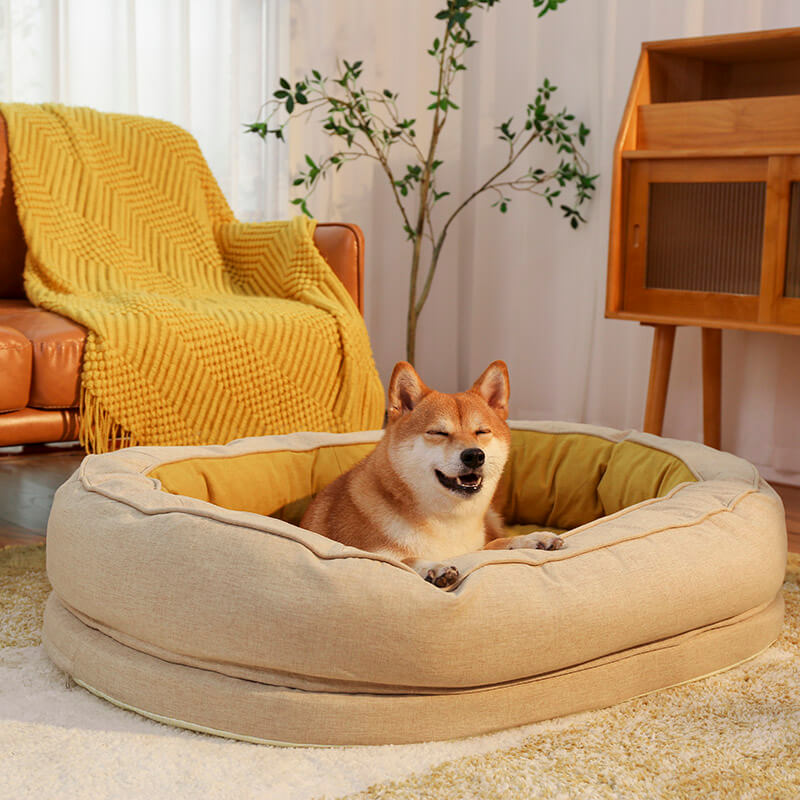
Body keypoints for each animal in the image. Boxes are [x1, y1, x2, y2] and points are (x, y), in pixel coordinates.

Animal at [298, 360, 564, 588]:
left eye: (482, 431)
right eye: (438, 433)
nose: (474, 455)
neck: (446, 522)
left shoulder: (475, 548)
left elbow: (495, 545)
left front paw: (532, 540)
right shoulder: (364, 553)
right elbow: (401, 560)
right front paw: (433, 567)